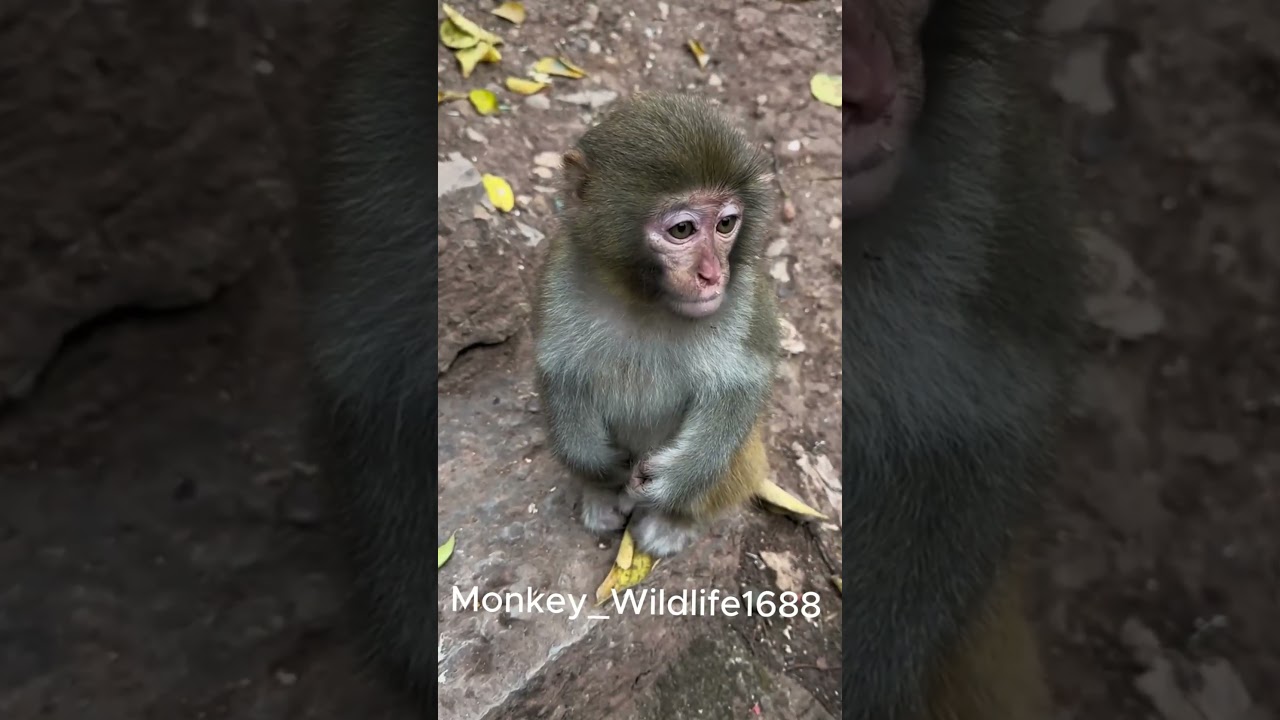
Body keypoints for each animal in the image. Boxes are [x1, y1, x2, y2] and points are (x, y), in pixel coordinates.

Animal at [532, 93, 781, 558]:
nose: (712, 275)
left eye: (726, 224)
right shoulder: (560, 275)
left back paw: (675, 521)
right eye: (682, 229)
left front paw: (673, 482)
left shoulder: (745, 298)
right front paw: (596, 468)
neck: (644, 299)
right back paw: (600, 496)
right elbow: (559, 371)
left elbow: (743, 383)